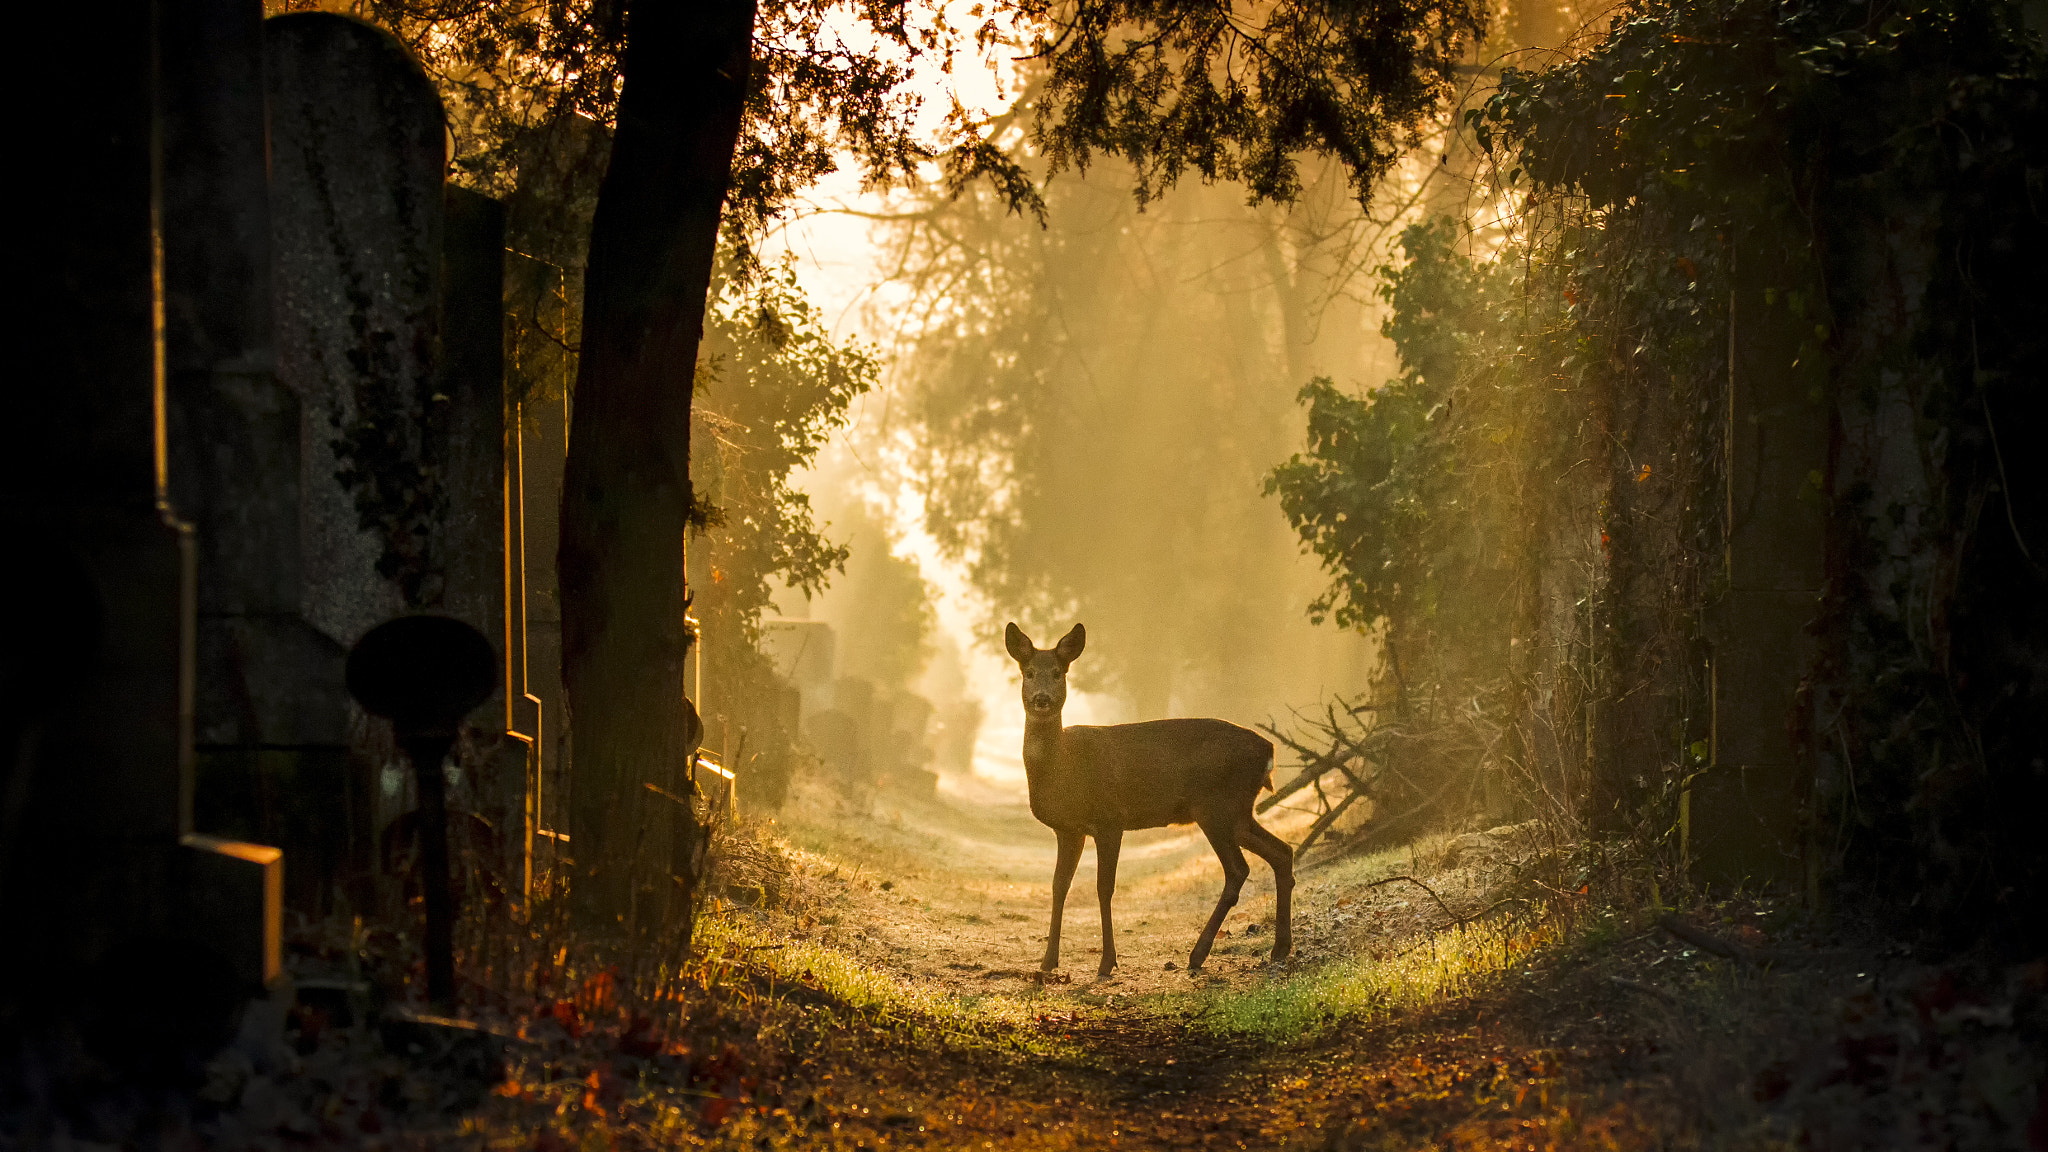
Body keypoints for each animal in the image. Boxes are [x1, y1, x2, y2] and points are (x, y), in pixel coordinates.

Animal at [1005, 622, 1293, 978]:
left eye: (1058, 673)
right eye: (1029, 672)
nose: (1042, 699)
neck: (1062, 766)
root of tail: (1269, 751)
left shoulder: (1110, 819)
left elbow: (1104, 887)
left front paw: (1107, 962)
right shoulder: (1068, 829)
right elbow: (1059, 886)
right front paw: (1047, 962)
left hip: (1216, 806)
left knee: (1238, 869)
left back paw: (1198, 955)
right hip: (1239, 812)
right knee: (1282, 852)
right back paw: (1279, 949)